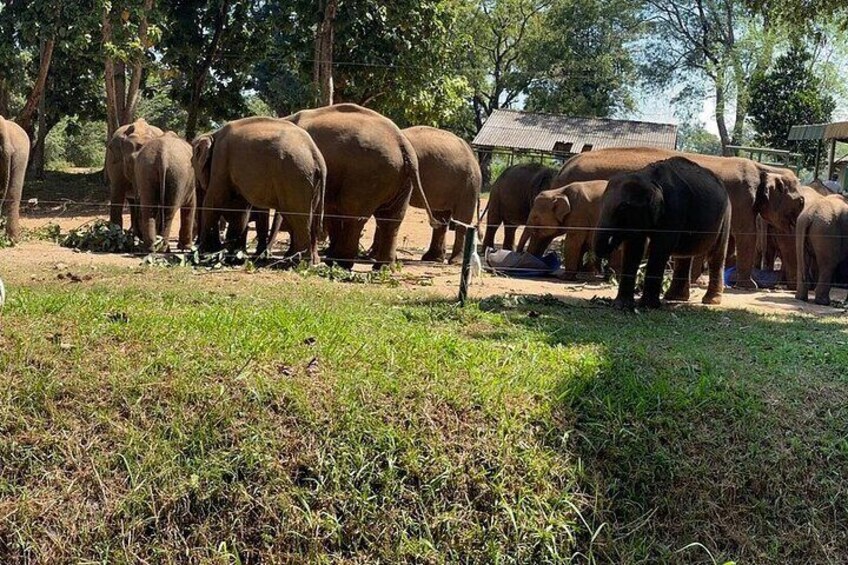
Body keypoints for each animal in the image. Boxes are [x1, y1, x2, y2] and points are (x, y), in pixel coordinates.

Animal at [192, 116, 326, 264]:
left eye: (192, 164)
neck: (213, 134)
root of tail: (316, 155)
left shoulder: (220, 160)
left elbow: (213, 201)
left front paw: (202, 255)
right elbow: (240, 209)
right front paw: (231, 256)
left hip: (295, 177)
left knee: (298, 217)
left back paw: (298, 261)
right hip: (311, 180)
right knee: (311, 216)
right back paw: (312, 261)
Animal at [286, 103, 435, 269]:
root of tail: (401, 142)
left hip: (367, 174)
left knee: (354, 215)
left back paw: (339, 263)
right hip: (401, 178)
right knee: (391, 219)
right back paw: (382, 268)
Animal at [554, 147, 804, 292]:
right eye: (800, 202)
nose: (789, 289)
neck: (765, 168)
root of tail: (564, 167)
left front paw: (696, 283)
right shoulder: (742, 198)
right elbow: (744, 236)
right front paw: (748, 287)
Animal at [594, 157, 731, 310]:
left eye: (623, 208)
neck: (648, 176)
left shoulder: (674, 208)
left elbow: (660, 247)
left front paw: (647, 306)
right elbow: (634, 248)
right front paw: (621, 305)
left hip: (726, 215)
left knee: (716, 254)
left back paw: (711, 301)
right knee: (684, 256)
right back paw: (674, 297)